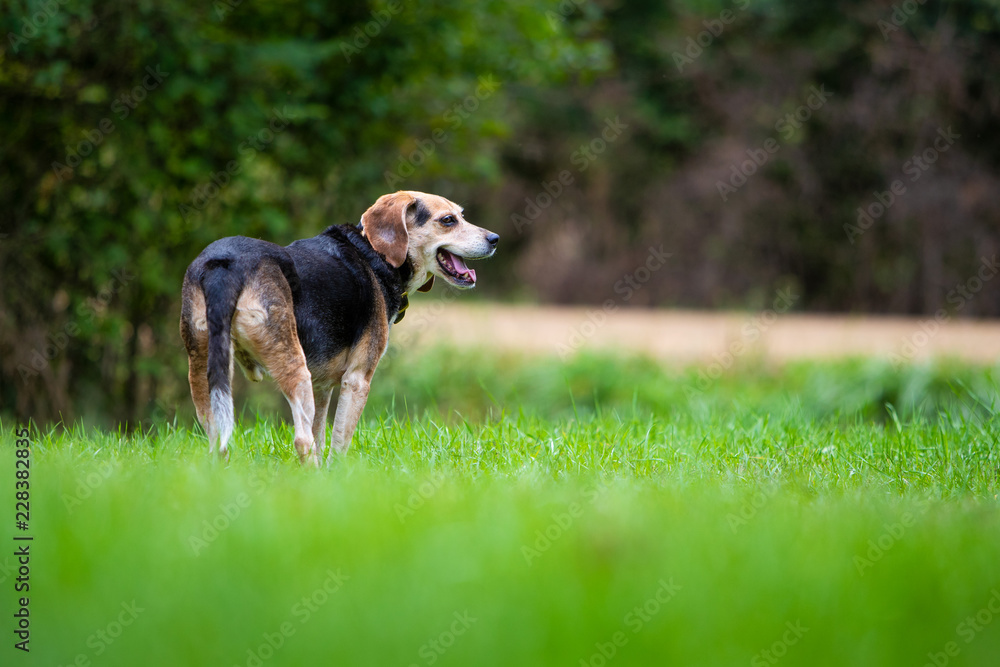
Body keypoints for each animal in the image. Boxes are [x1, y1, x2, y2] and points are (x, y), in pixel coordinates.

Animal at [180, 190, 500, 468]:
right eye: (448, 220)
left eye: (461, 215)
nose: (495, 238)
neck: (375, 253)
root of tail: (226, 263)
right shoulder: (357, 380)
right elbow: (339, 443)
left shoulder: (321, 387)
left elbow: (321, 438)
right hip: (294, 368)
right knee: (301, 440)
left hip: (204, 371)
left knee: (217, 441)